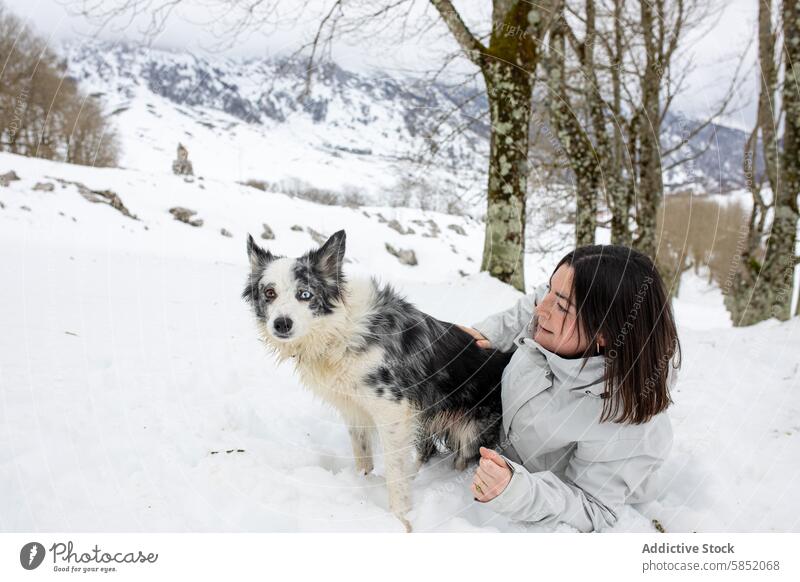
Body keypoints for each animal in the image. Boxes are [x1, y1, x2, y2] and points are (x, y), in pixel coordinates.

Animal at [241, 230, 510, 532]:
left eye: (305, 294)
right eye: (269, 293)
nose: (282, 324)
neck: (339, 331)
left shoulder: (393, 410)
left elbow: (394, 472)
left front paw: (400, 520)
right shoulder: (356, 409)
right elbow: (362, 455)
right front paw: (363, 484)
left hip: (471, 435)